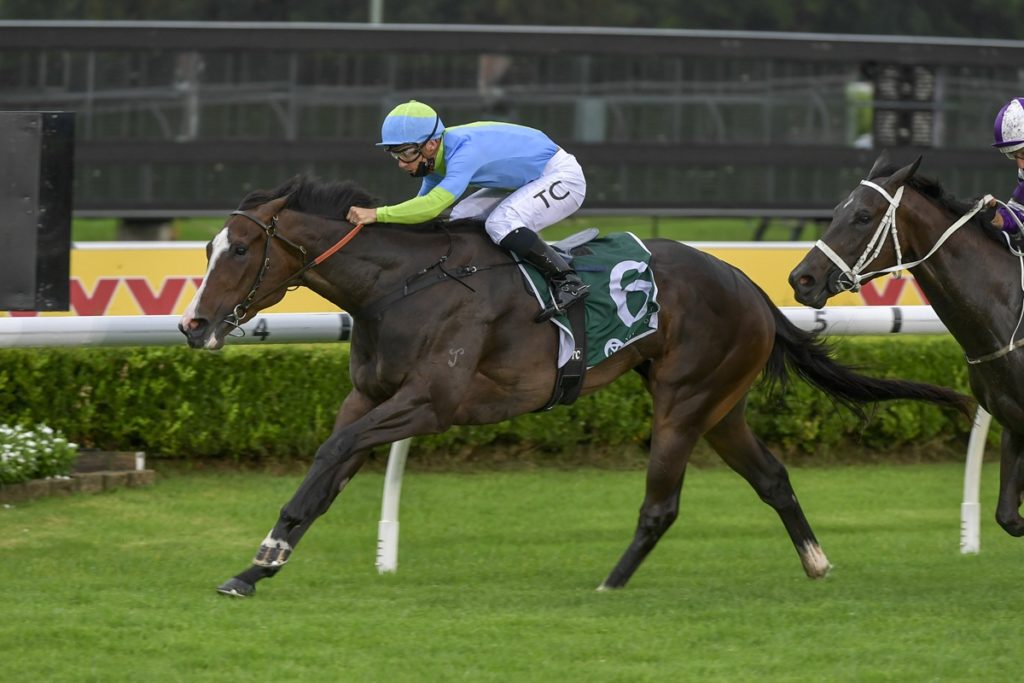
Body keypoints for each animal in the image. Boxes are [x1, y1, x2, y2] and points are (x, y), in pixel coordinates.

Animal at [179, 174, 973, 597]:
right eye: (209, 246)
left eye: (241, 249)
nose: (193, 324)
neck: (402, 284)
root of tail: (746, 280)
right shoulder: (372, 397)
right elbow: (327, 472)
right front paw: (256, 565)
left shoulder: (428, 405)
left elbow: (330, 454)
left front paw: (264, 557)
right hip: (721, 405)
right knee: (773, 477)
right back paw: (815, 561)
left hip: (684, 400)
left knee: (662, 504)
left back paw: (611, 584)